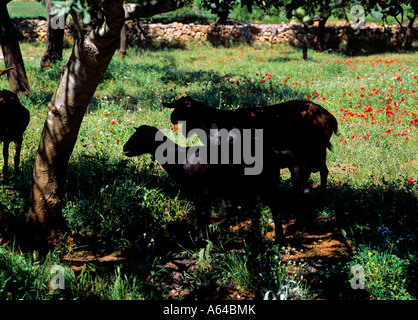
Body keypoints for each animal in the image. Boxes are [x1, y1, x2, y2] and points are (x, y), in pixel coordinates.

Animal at [121, 125, 284, 242]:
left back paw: (278, 240)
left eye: (140, 136)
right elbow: (201, 217)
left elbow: (202, 217)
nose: (124, 147)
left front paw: (201, 241)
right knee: (256, 212)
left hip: (268, 184)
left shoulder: (203, 194)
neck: (181, 160)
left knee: (275, 209)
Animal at [164, 95, 340, 195]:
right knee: (316, 170)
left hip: (316, 148)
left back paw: (320, 193)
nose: (172, 118)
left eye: (183, 108)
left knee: (321, 171)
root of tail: (330, 118)